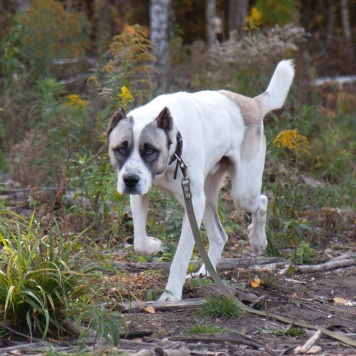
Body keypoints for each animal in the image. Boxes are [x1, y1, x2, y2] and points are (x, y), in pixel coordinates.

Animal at [108, 60, 294, 300]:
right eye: (120, 149)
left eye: (150, 150)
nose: (130, 180)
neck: (174, 149)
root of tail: (252, 103)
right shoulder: (143, 194)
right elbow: (139, 241)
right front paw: (154, 244)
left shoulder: (193, 202)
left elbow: (181, 255)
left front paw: (171, 295)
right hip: (205, 197)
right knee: (220, 236)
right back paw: (207, 271)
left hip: (241, 193)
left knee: (261, 202)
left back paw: (258, 241)